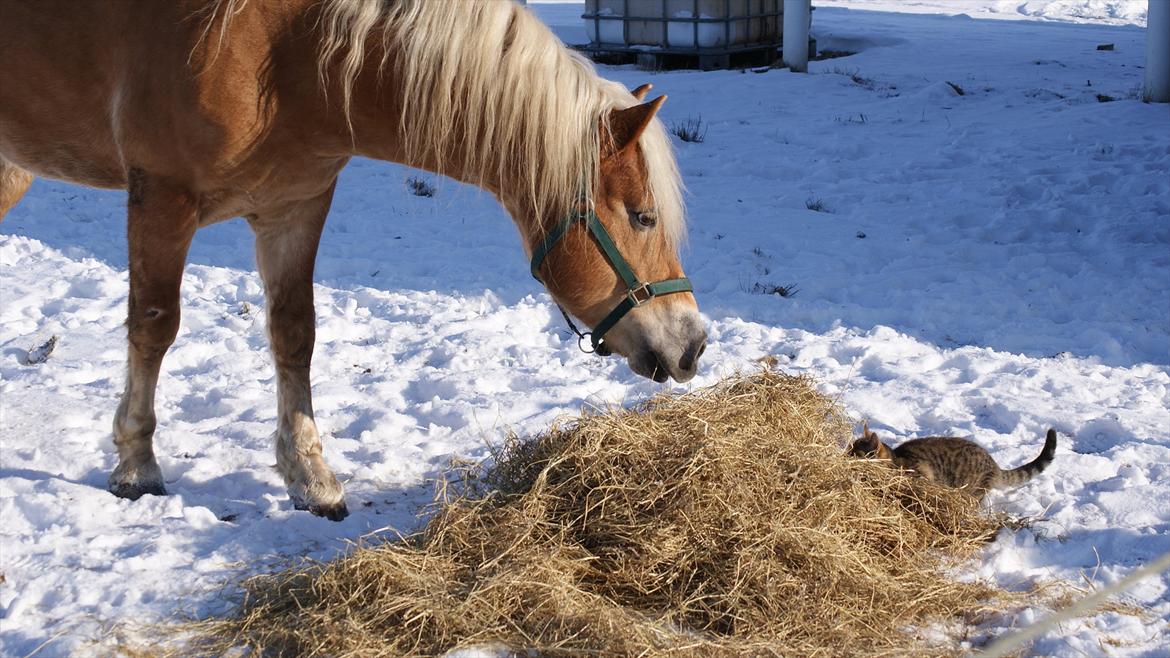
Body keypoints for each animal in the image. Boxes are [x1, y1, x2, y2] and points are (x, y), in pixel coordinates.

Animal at [0, 2, 706, 519]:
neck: (279, 52)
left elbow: (294, 334)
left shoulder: (295, 205)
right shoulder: (162, 198)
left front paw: (310, 476)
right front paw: (136, 465)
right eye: (643, 215)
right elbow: (154, 325)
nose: (694, 342)